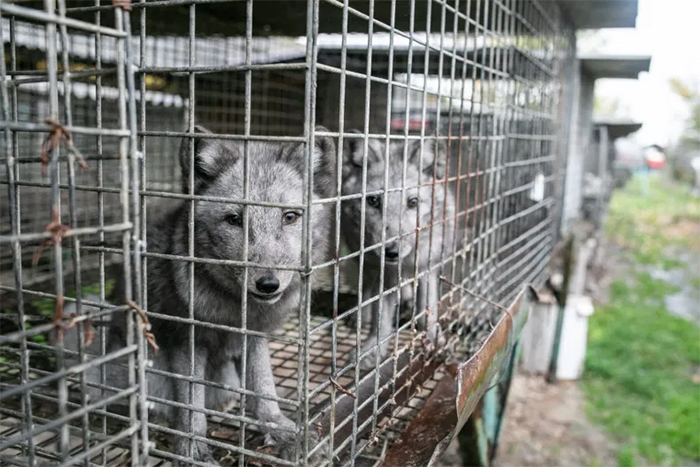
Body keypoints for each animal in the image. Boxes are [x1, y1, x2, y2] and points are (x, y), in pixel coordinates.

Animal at [57, 126, 336, 466]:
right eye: (234, 219)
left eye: (291, 217)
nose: (267, 284)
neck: (235, 310)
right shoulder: (186, 339)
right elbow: (192, 400)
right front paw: (192, 446)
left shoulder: (255, 337)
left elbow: (264, 388)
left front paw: (281, 429)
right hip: (88, 314)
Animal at [340, 133, 460, 372]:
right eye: (373, 200)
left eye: (413, 202)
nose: (391, 252)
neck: (404, 262)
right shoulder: (383, 275)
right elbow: (380, 322)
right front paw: (371, 352)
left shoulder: (427, 269)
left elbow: (427, 313)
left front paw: (434, 340)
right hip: (364, 262)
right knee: (366, 291)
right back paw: (360, 315)